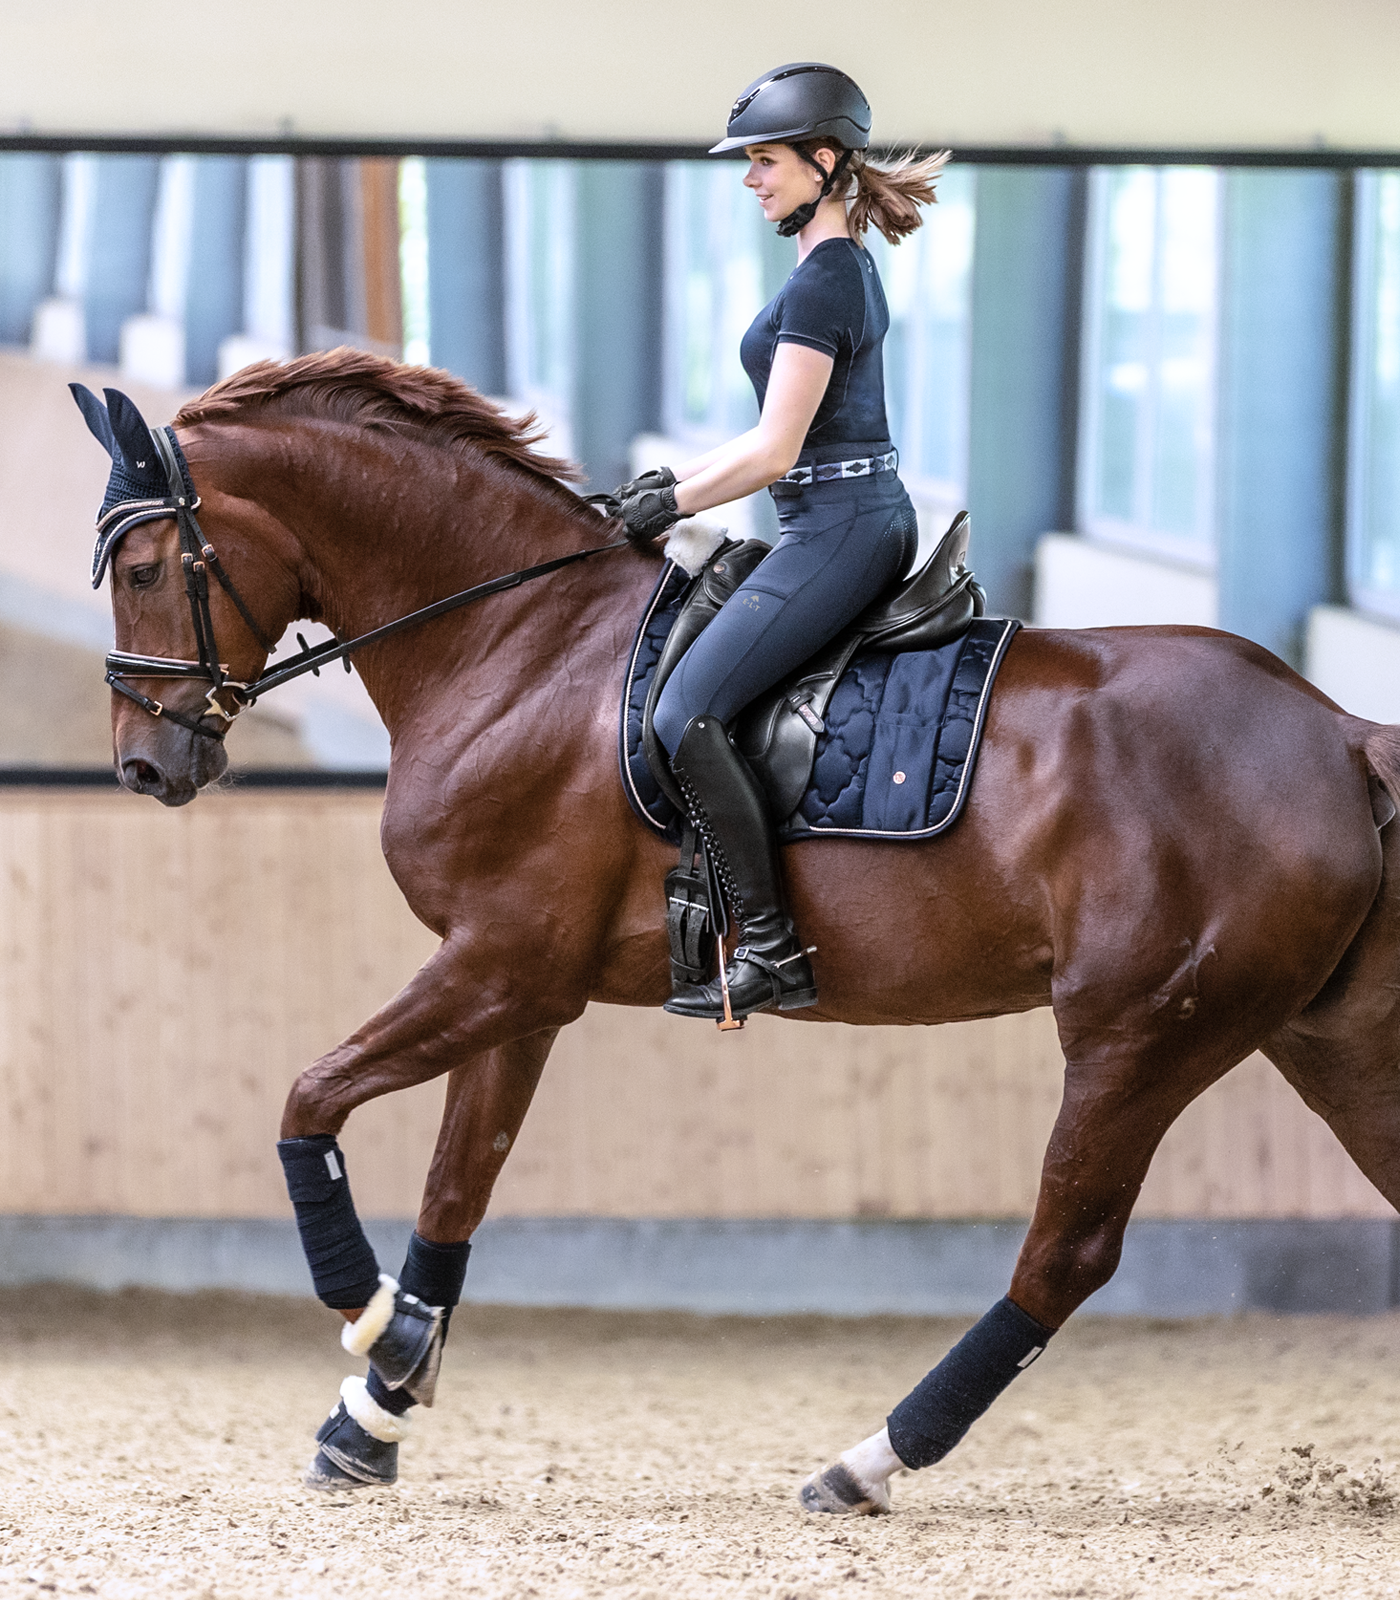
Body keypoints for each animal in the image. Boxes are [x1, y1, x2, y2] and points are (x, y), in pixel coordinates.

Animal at [93, 344, 1395, 1491]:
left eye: (148, 569)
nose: (145, 767)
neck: (519, 647)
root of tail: (1334, 731)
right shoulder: (516, 989)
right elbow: (455, 1187)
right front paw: (377, 1409)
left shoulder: (499, 967)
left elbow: (308, 1100)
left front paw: (368, 1321)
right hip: (1320, 1042)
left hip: (1138, 1038)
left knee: (1063, 1250)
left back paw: (867, 1462)